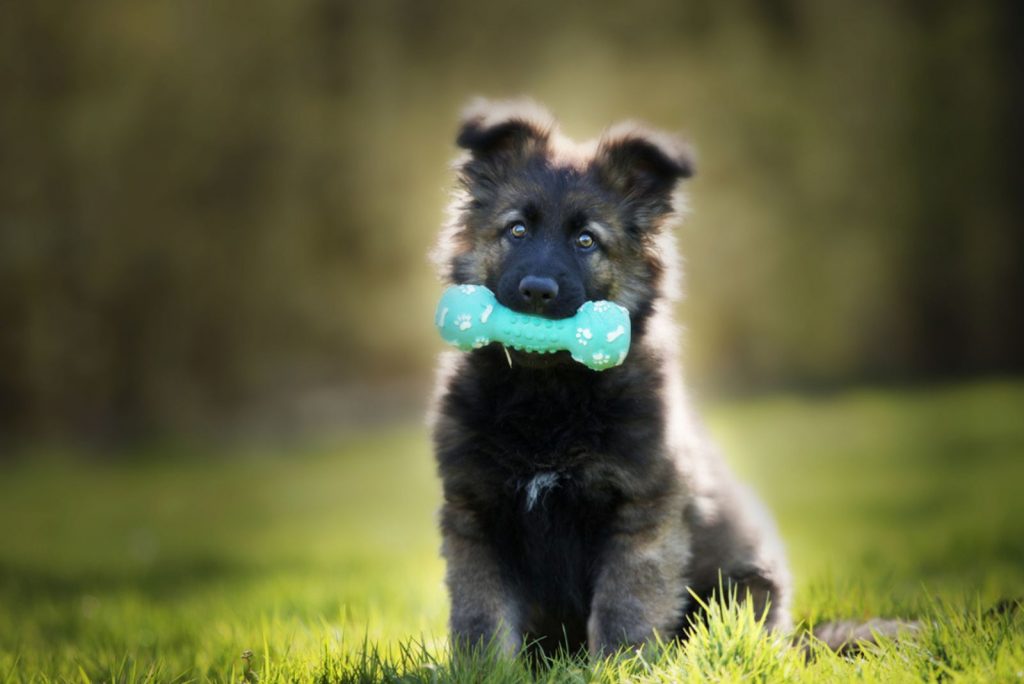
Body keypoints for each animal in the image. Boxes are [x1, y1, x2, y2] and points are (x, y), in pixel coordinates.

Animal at [428, 98, 786, 655]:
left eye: (585, 240)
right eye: (517, 230)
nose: (537, 291)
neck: (547, 397)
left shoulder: (642, 515)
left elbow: (625, 609)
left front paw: (619, 665)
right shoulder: (475, 514)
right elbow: (481, 619)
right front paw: (483, 668)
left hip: (747, 589)